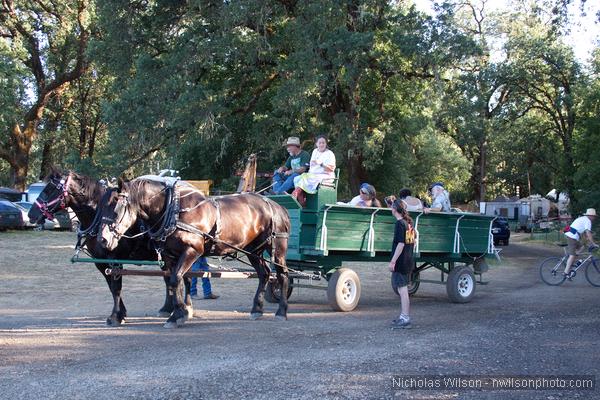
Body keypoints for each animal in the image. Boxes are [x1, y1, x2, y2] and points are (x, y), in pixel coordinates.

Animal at [98, 178, 290, 328]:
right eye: (100, 209)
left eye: (116, 209)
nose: (103, 239)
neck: (174, 210)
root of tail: (276, 206)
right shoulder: (169, 255)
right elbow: (175, 281)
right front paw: (179, 313)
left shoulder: (192, 250)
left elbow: (176, 279)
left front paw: (178, 314)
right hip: (253, 250)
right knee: (264, 274)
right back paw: (257, 309)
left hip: (277, 248)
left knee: (282, 275)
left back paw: (281, 311)